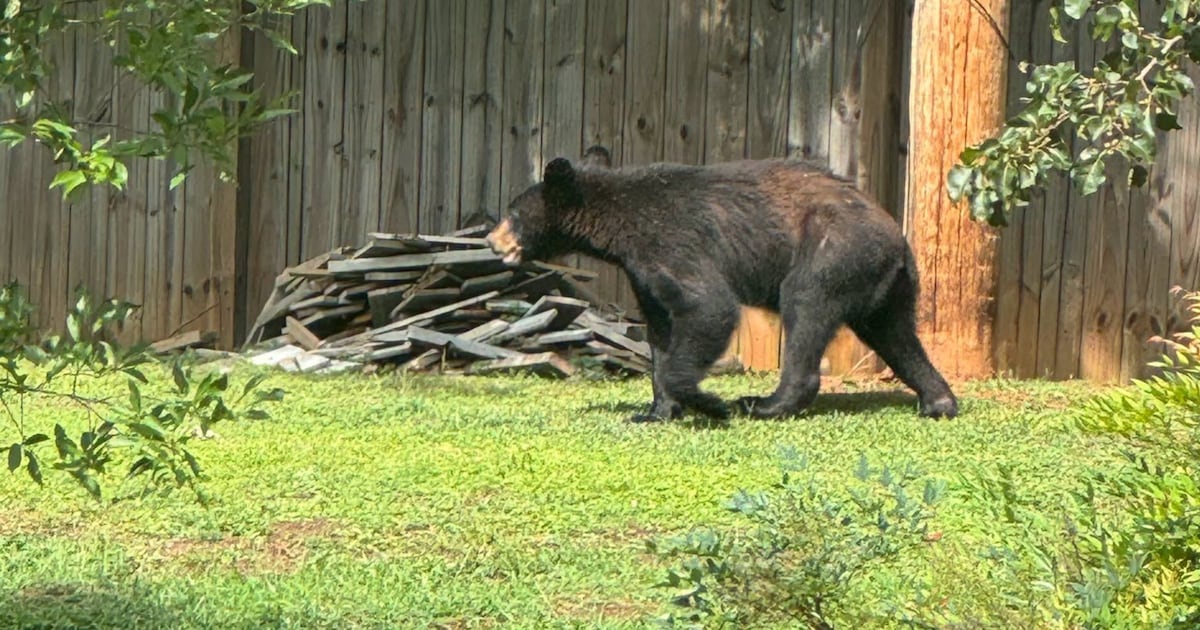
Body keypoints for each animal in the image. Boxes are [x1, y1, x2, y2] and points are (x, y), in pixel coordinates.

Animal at [485, 146, 958, 423]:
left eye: (514, 212)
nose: (492, 240)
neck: (619, 228)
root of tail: (896, 237)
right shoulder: (641, 270)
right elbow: (660, 328)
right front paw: (655, 411)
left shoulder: (672, 242)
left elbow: (707, 307)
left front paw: (709, 402)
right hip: (883, 283)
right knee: (895, 334)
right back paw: (937, 401)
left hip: (833, 250)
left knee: (806, 307)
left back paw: (766, 403)